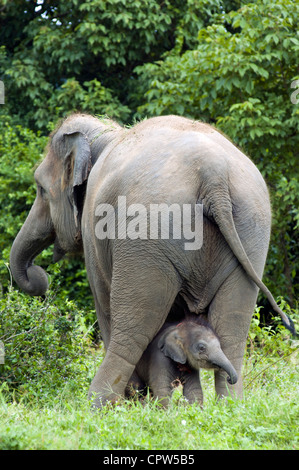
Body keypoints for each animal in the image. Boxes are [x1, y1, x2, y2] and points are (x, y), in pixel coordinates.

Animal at [9, 113, 296, 408]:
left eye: (41, 189)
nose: (39, 275)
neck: (106, 133)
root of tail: (213, 176)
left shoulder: (93, 230)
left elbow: (103, 301)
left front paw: (136, 400)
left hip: (147, 237)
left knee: (130, 329)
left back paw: (100, 406)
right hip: (252, 232)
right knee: (232, 329)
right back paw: (230, 406)